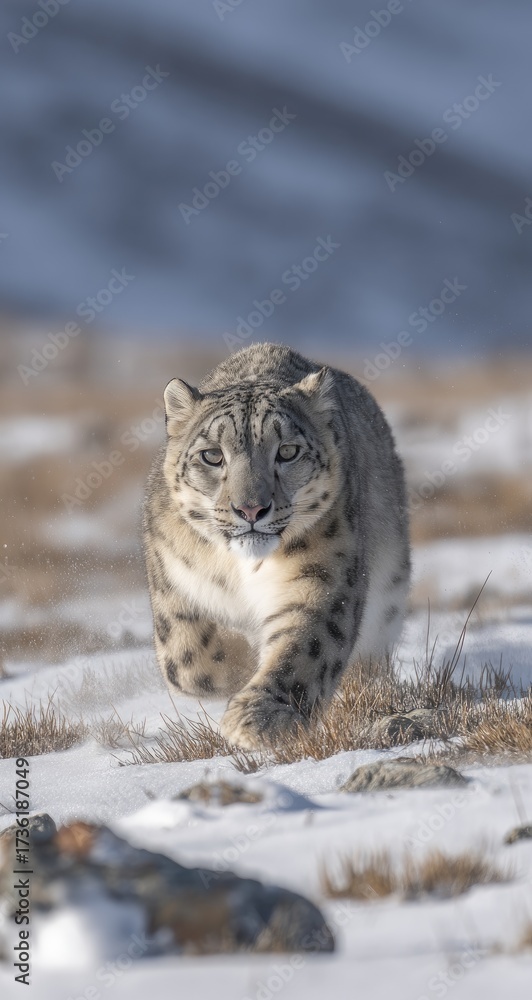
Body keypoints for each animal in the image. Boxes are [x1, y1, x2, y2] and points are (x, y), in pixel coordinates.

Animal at [143, 342, 410, 750]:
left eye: (287, 451)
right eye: (212, 455)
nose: (251, 508)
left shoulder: (322, 577)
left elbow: (304, 646)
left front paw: (259, 716)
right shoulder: (172, 579)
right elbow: (187, 660)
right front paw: (242, 664)